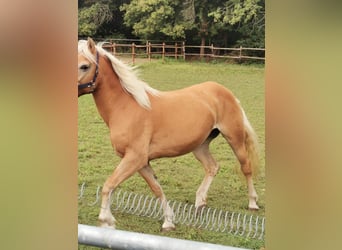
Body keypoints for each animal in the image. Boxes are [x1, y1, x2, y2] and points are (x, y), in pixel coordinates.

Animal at [77, 38, 260, 231]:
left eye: (84, 66)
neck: (126, 107)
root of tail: (226, 92)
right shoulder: (141, 162)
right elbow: (156, 188)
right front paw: (168, 221)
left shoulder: (135, 158)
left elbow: (108, 185)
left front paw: (106, 220)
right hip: (200, 146)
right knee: (212, 167)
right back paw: (200, 202)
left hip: (235, 139)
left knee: (246, 167)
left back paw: (253, 203)